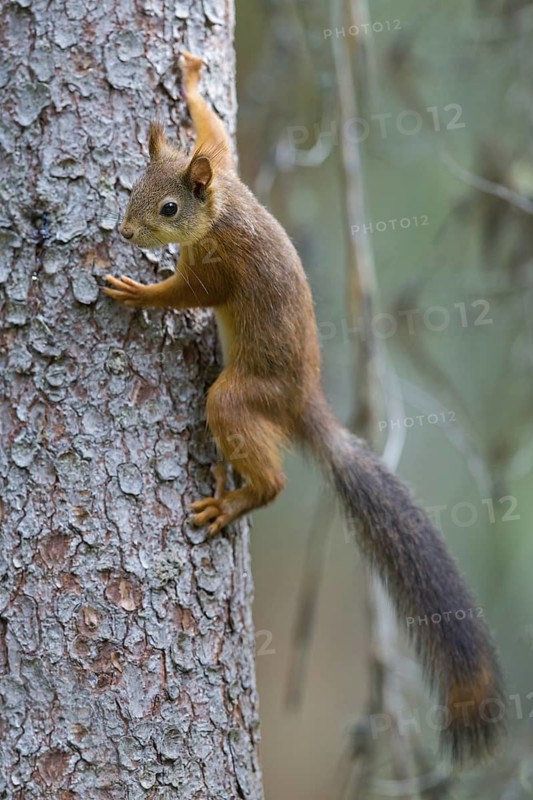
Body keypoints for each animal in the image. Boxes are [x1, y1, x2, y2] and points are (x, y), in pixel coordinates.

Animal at [104, 51, 505, 764]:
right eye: (133, 188)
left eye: (169, 206)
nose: (124, 230)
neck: (222, 207)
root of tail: (302, 400)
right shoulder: (226, 163)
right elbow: (215, 134)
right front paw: (191, 79)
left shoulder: (221, 266)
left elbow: (192, 293)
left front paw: (140, 292)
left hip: (241, 396)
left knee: (274, 478)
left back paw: (234, 501)